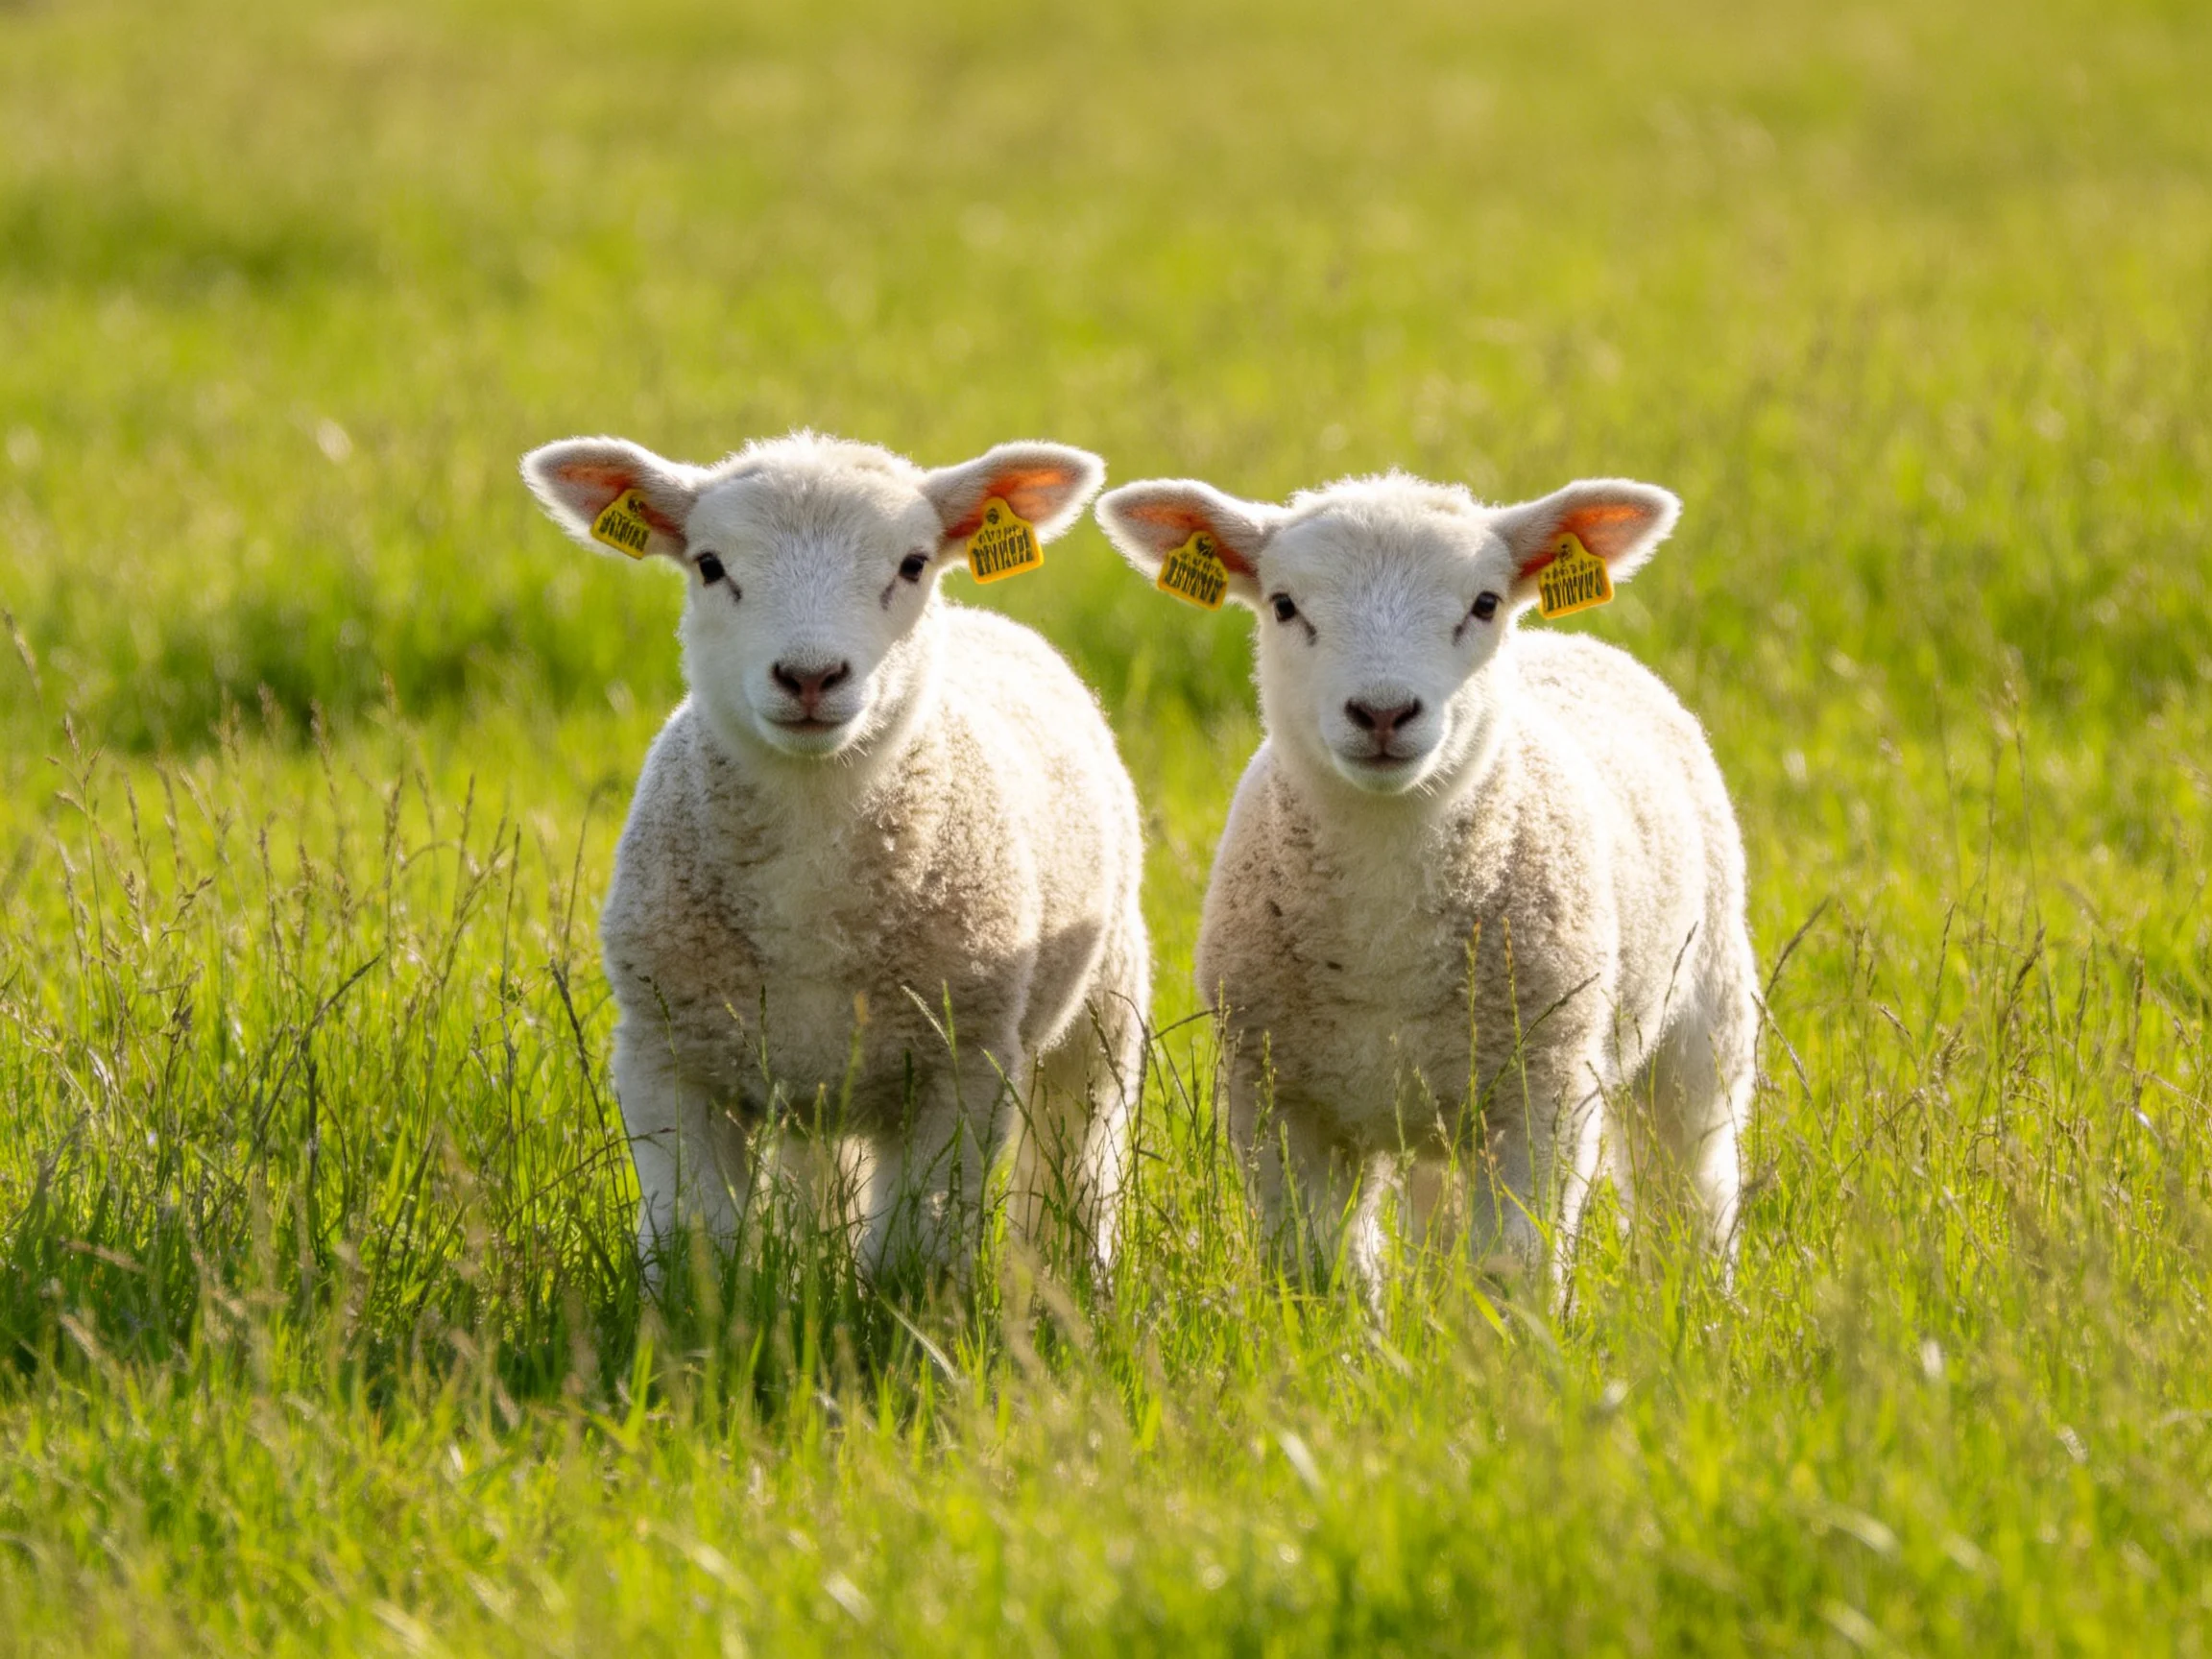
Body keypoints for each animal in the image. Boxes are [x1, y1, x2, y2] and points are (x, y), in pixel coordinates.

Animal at [521, 431, 1148, 1283]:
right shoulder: (667, 1058)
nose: (810, 675)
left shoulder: (961, 1067)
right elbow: (696, 1242)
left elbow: (912, 1254)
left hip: (1104, 998)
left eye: (913, 563)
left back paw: (1074, 1277)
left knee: (1078, 1147)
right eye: (709, 565)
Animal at [1095, 470, 1755, 1296]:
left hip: (1703, 1007)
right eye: (1284, 605)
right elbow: (1319, 1272)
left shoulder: (1544, 1093)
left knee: (1690, 1179)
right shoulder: (1280, 1101)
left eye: (1485, 603)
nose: (1383, 712)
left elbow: (1513, 1267)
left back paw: (1698, 1296)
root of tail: (1567, 640)